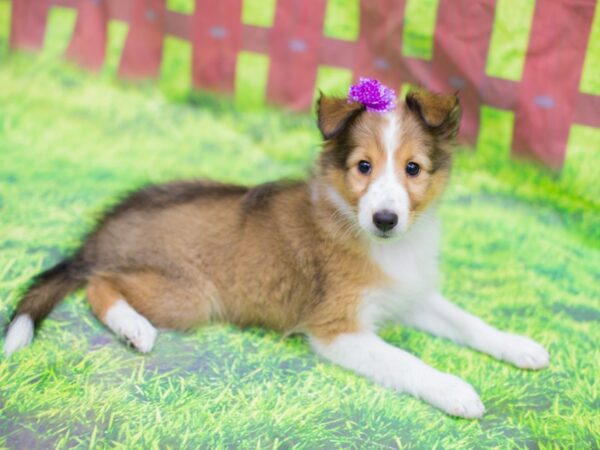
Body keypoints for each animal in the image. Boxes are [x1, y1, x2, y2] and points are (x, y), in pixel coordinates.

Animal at [3, 87, 548, 418]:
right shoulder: (336, 328)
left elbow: (467, 322)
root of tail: (100, 233)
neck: (382, 243)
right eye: (363, 166)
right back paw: (134, 328)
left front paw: (519, 346)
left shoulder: (407, 294)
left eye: (413, 168)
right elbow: (404, 361)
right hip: (187, 296)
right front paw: (455, 390)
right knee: (99, 284)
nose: (385, 220)